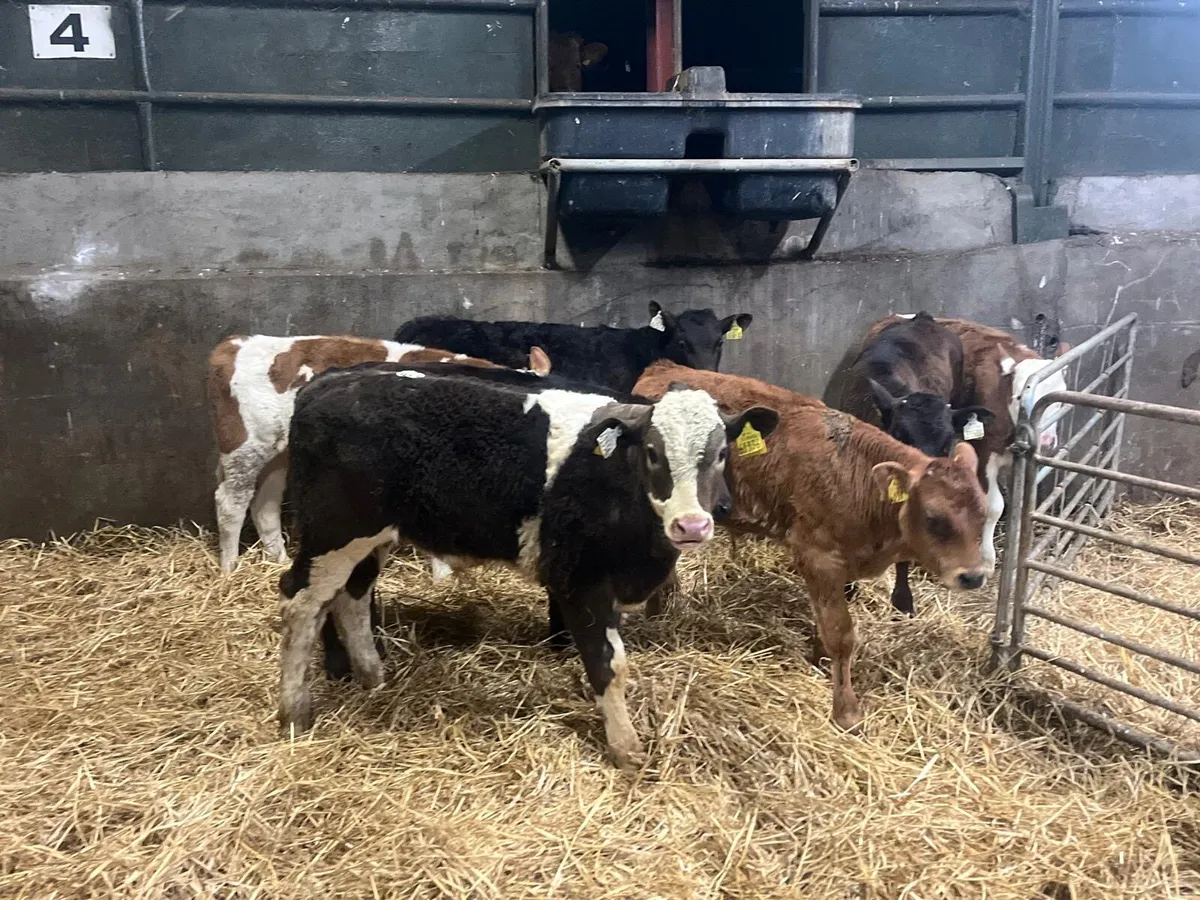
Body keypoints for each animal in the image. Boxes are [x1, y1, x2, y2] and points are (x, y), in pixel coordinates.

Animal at [206, 333, 551, 573]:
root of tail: (232, 345)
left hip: (279, 454)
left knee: (265, 504)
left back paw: (275, 561)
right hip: (246, 444)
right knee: (231, 501)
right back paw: (229, 570)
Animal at [275, 363, 779, 768]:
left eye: (721, 453)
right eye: (654, 453)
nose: (692, 525)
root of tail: (326, 382)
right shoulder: (581, 581)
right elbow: (608, 664)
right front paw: (625, 747)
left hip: (371, 536)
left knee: (352, 600)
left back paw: (374, 679)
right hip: (333, 533)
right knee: (300, 603)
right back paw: (294, 710)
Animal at [636, 361, 989, 733]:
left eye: (986, 512)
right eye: (935, 518)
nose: (973, 576)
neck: (858, 478)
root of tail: (664, 367)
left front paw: (819, 656)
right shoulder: (817, 557)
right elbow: (841, 633)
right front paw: (846, 710)